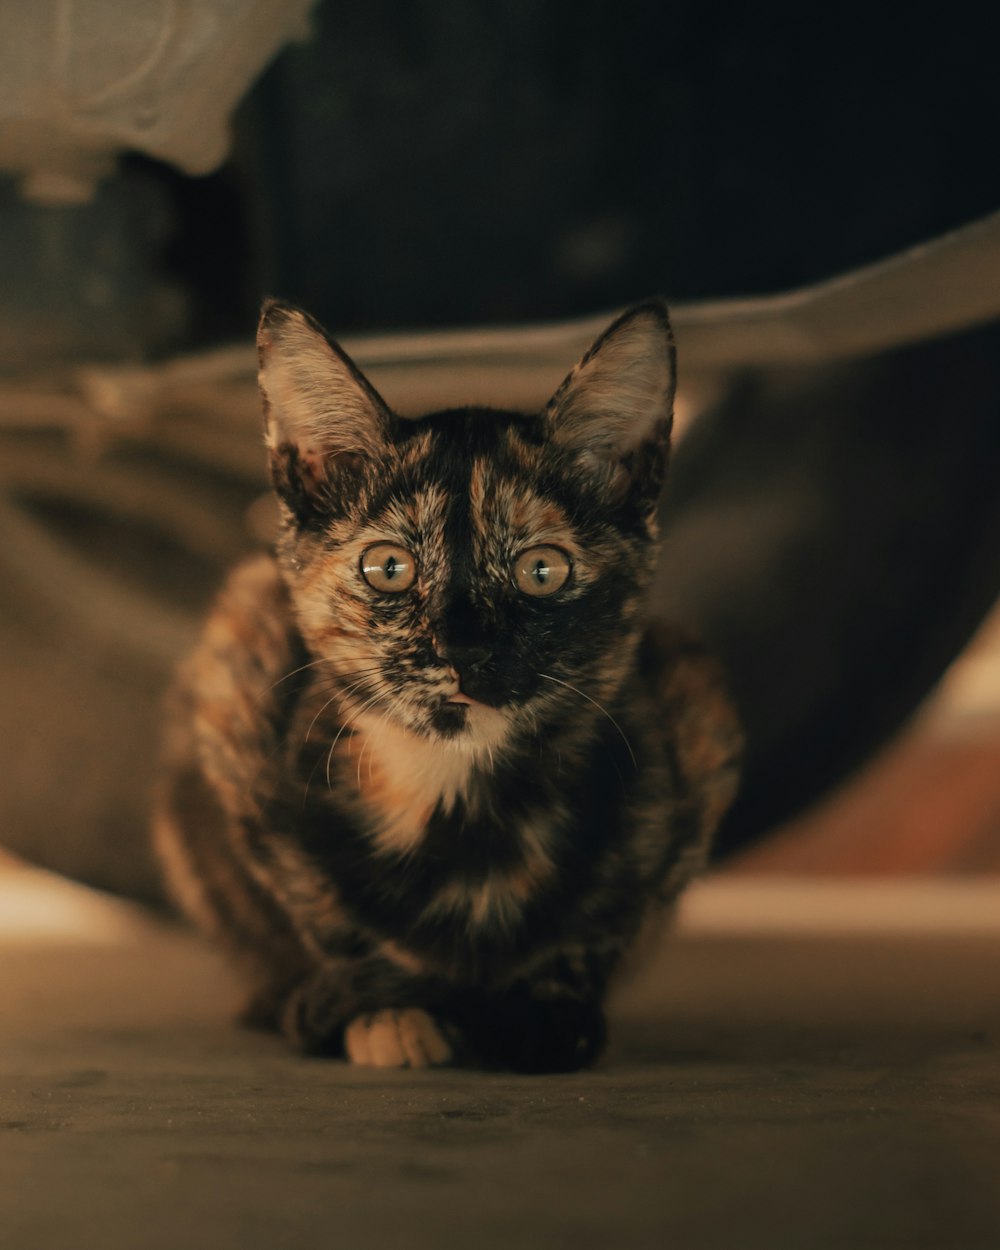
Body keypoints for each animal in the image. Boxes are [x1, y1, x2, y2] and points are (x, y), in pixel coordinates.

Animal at [152, 297, 740, 1070]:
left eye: (542, 570)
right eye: (388, 568)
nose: (464, 647)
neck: (461, 801)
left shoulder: (690, 723)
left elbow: (595, 934)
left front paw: (546, 1014)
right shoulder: (240, 702)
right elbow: (325, 920)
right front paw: (389, 1012)